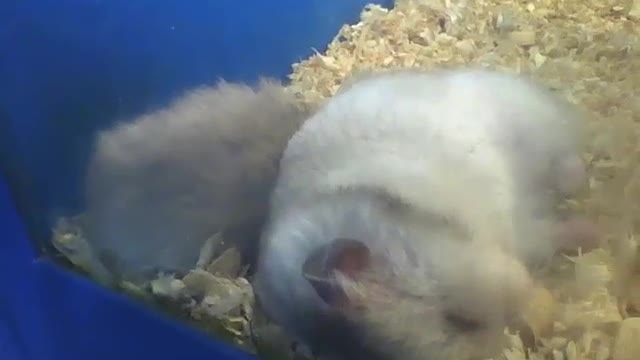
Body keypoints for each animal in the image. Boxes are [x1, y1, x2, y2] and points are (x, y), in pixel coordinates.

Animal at [252, 68, 592, 360]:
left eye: (460, 320)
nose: (542, 325)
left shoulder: (509, 227)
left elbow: (546, 237)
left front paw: (592, 233)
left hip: (534, 124)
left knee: (566, 157)